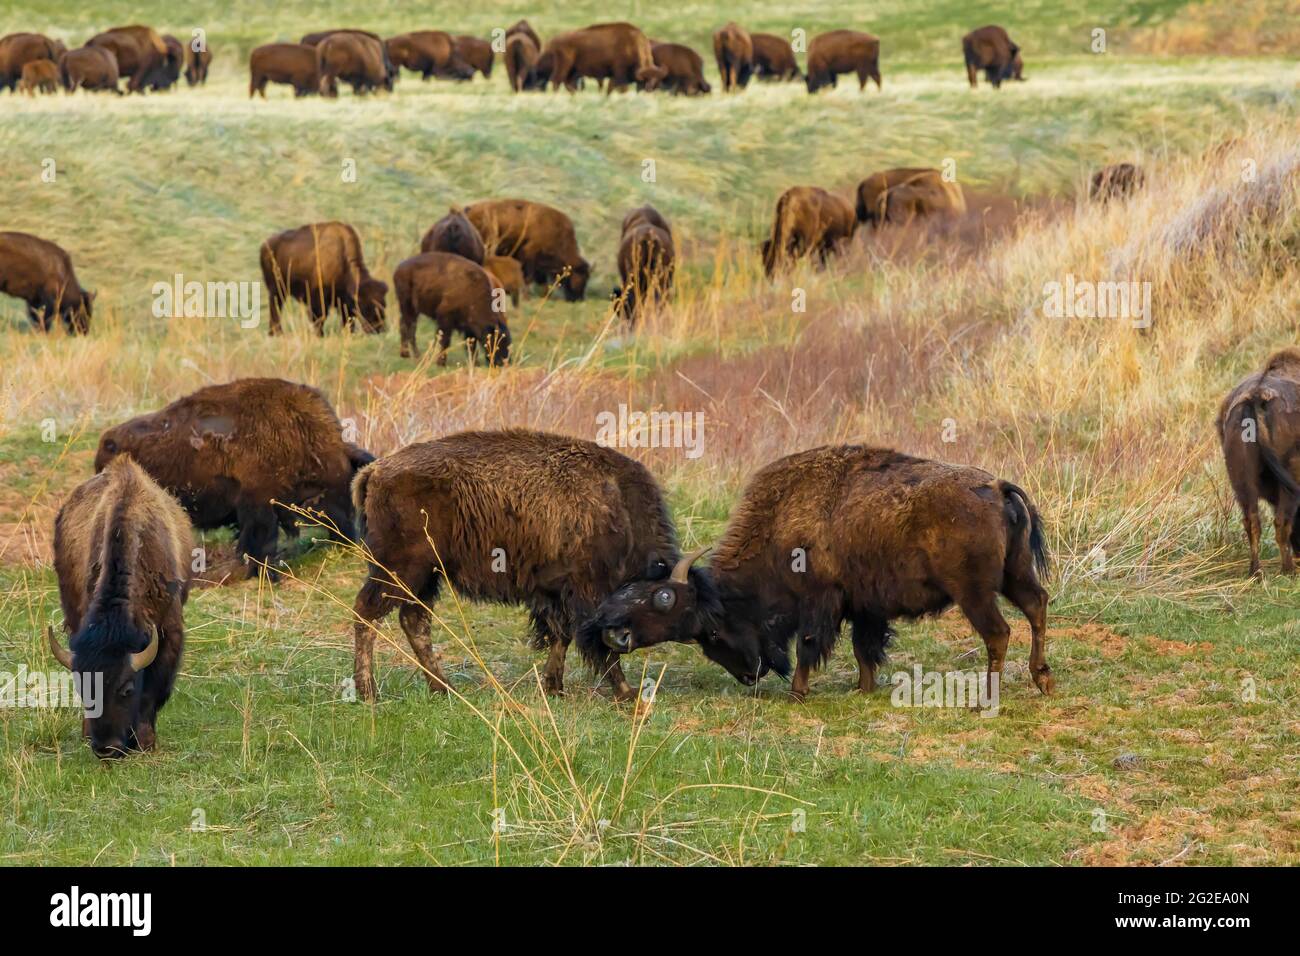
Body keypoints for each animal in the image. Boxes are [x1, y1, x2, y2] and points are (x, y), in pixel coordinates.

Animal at [49, 455, 193, 758]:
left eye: (126, 689)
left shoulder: (169, 634)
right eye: (83, 689)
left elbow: (152, 693)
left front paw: (146, 742)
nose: (106, 749)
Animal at [94, 378, 374, 577]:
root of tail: (106, 445)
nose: (348, 541)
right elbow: (260, 539)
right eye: (339, 486)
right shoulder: (258, 503)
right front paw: (262, 573)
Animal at [350, 429, 685, 701]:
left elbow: (561, 636)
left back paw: (444, 689)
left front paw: (554, 687)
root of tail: (374, 471)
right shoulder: (587, 592)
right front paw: (627, 693)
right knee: (368, 612)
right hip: (402, 570)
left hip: (425, 577)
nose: (625, 638)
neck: (619, 508)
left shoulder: (555, 593)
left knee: (413, 621)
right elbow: (594, 643)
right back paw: (369, 693)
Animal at [582, 445, 1054, 700]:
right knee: (1036, 607)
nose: (752, 674)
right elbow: (865, 648)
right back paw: (1042, 679)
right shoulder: (864, 606)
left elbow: (811, 642)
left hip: (974, 592)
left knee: (998, 632)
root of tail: (996, 487)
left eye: (713, 632)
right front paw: (863, 688)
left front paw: (798, 692)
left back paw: (986, 697)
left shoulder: (820, 601)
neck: (781, 522)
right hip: (1014, 577)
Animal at [1218, 347, 1300, 576]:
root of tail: (1256, 397)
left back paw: (1256, 571)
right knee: (1281, 522)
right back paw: (1288, 570)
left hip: (1241, 479)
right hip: (1291, 476)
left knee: (1252, 521)